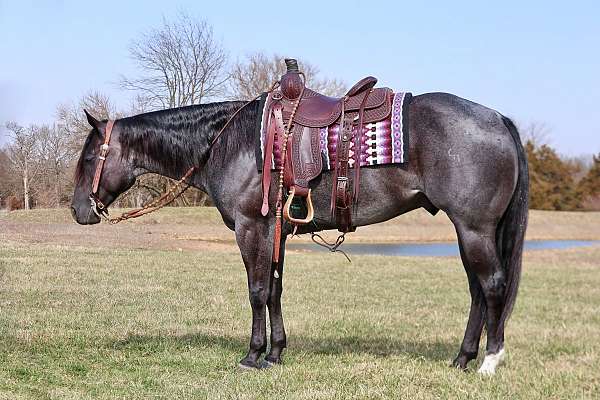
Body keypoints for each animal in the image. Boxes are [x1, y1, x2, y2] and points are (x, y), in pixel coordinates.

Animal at [71, 83, 528, 372]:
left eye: (91, 158)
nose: (78, 211)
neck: (228, 142)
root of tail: (497, 119)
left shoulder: (251, 228)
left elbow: (257, 291)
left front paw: (253, 356)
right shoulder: (277, 233)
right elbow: (274, 290)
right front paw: (276, 353)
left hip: (474, 229)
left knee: (492, 286)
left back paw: (489, 361)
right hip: (469, 231)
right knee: (477, 291)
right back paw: (462, 359)